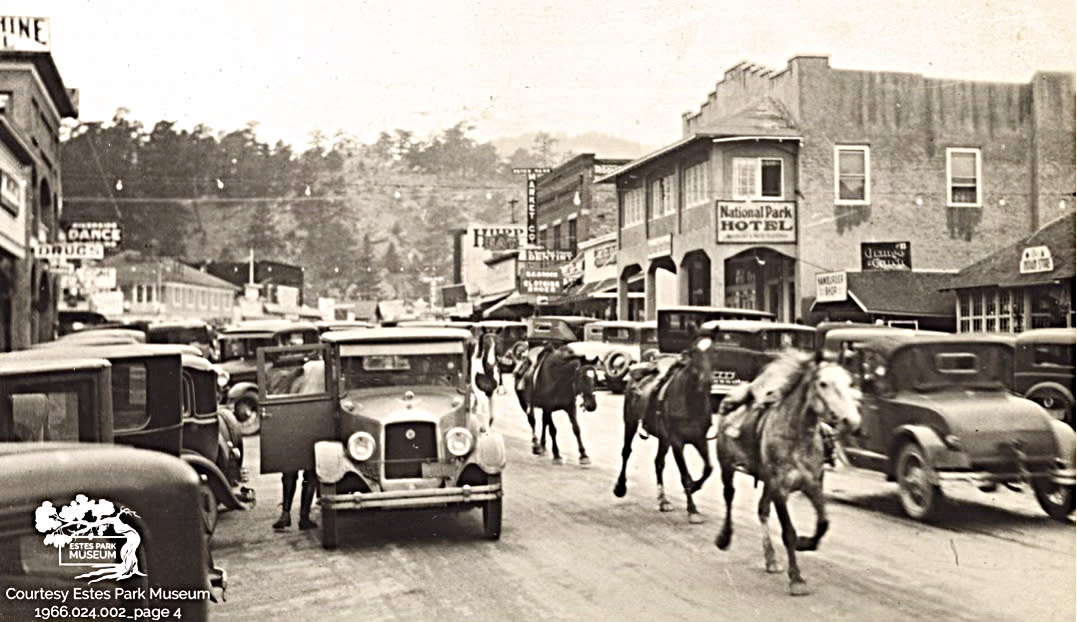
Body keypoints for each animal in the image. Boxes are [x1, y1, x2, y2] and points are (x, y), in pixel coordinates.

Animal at [616, 335, 715, 520]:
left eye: (715, 352)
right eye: (693, 353)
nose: (706, 380)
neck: (690, 401)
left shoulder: (700, 439)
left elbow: (708, 469)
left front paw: (695, 487)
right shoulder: (677, 442)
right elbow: (685, 475)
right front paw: (692, 509)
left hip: (663, 439)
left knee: (658, 462)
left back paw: (663, 500)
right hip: (630, 422)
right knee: (626, 452)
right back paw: (620, 487)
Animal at [710, 350, 861, 594]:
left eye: (849, 382)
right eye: (823, 383)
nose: (852, 421)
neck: (796, 436)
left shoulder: (812, 484)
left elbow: (823, 523)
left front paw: (805, 543)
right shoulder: (780, 488)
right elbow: (788, 532)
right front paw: (796, 578)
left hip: (766, 482)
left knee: (762, 510)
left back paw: (771, 559)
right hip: (727, 465)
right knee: (729, 496)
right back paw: (724, 537)